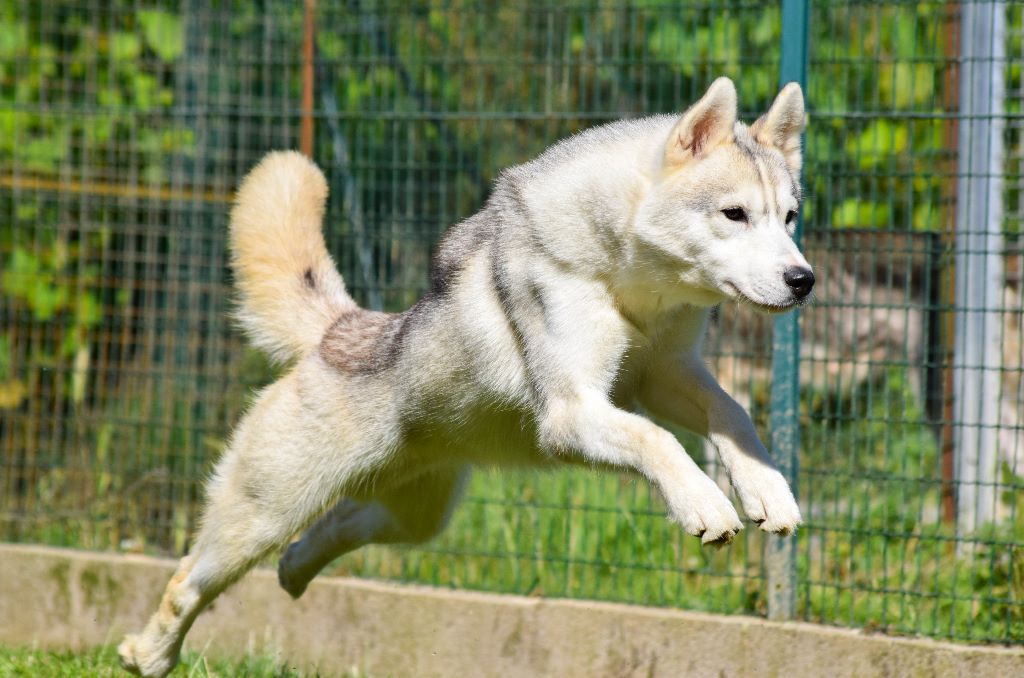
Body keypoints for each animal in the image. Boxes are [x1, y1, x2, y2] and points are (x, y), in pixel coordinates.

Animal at [116, 76, 811, 675]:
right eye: (734, 214)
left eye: (789, 217)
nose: (803, 280)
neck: (626, 280)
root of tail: (341, 330)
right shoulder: (573, 411)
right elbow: (657, 440)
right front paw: (705, 502)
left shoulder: (662, 376)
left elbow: (732, 414)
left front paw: (767, 489)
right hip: (262, 514)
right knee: (188, 582)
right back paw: (146, 655)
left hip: (414, 516)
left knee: (329, 531)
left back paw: (293, 572)